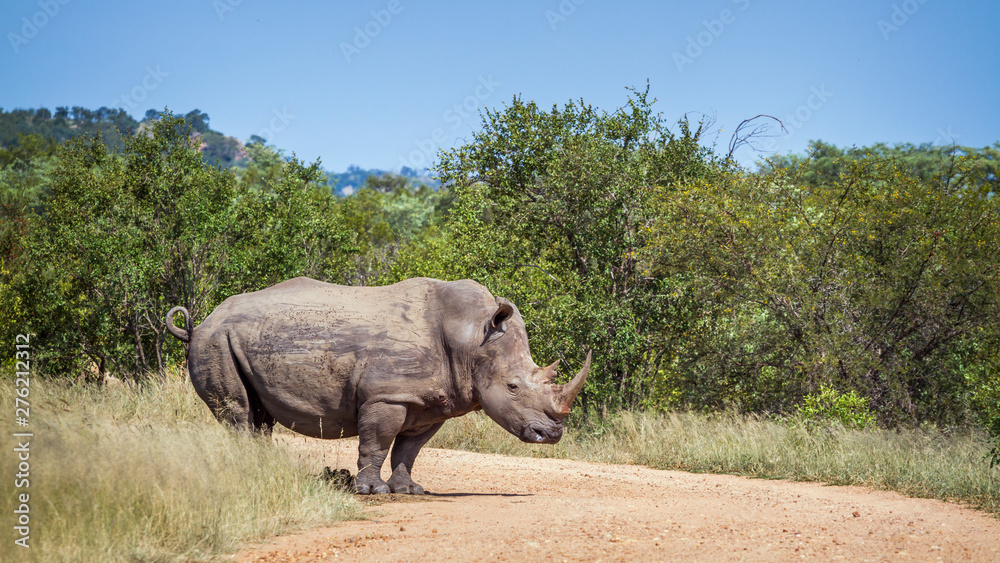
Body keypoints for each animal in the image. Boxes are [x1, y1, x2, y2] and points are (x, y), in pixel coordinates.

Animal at [166, 276, 590, 494]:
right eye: (514, 387)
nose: (552, 435)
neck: (471, 337)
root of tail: (201, 323)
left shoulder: (429, 401)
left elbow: (409, 449)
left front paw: (409, 491)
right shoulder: (387, 394)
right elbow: (377, 442)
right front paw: (371, 492)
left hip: (241, 338)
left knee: (259, 415)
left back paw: (266, 471)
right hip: (216, 340)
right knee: (237, 411)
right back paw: (252, 472)